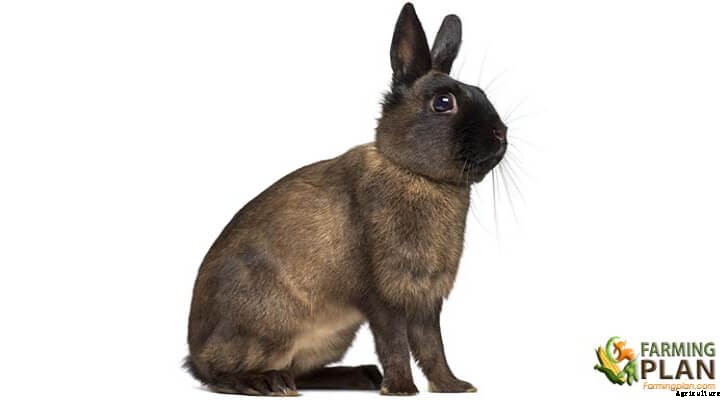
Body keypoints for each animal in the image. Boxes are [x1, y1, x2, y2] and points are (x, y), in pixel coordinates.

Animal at [185, 2, 507, 396]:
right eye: (443, 102)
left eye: (482, 93)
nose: (501, 134)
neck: (415, 173)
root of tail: (193, 348)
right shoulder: (383, 296)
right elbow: (395, 343)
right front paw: (402, 389)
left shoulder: (426, 301)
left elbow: (432, 347)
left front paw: (455, 386)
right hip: (267, 324)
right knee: (216, 373)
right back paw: (267, 382)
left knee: (299, 371)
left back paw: (360, 375)